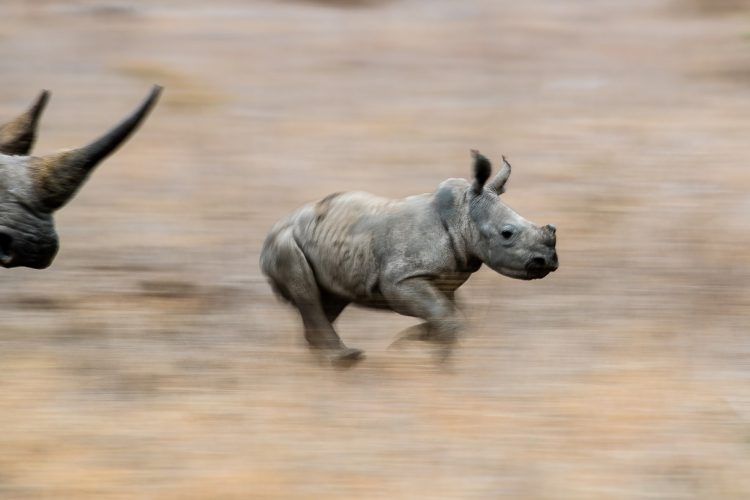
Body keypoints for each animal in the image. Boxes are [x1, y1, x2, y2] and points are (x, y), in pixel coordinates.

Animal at [262, 150, 560, 366]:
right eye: (507, 234)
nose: (547, 261)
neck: (461, 216)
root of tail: (274, 227)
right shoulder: (401, 279)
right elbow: (447, 316)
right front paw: (426, 357)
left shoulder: (444, 280)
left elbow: (452, 316)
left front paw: (406, 344)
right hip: (285, 242)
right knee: (307, 292)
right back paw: (345, 360)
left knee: (330, 300)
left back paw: (325, 363)